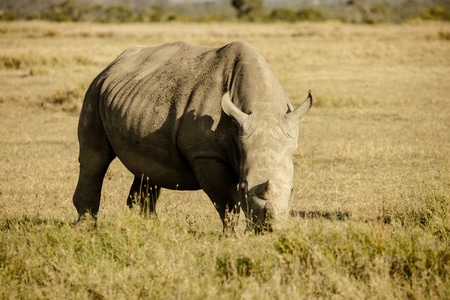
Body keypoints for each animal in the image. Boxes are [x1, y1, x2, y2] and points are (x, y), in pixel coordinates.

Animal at [74, 41, 312, 232]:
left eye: (292, 191)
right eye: (243, 188)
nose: (268, 229)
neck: (264, 110)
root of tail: (113, 63)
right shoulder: (205, 154)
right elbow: (227, 201)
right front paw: (232, 236)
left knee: (146, 170)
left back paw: (149, 228)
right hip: (95, 90)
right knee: (94, 159)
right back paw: (86, 228)